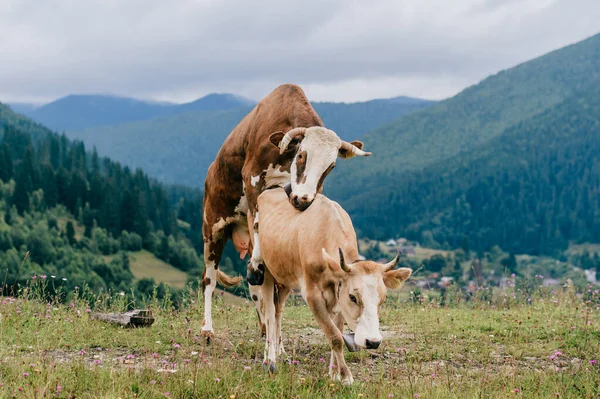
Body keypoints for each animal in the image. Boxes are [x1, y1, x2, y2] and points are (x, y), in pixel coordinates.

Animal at [202, 84, 370, 340]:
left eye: (331, 166)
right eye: (301, 155)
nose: (302, 199)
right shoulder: (252, 179)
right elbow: (257, 220)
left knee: (255, 288)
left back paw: (264, 324)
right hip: (212, 227)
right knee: (209, 279)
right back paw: (207, 329)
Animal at [255, 189, 410, 386]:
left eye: (383, 299)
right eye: (353, 297)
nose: (373, 342)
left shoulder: (338, 295)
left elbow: (337, 330)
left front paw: (334, 372)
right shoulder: (312, 295)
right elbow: (335, 336)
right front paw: (345, 375)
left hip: (285, 279)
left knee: (278, 311)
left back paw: (281, 353)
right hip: (265, 271)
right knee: (268, 311)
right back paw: (270, 359)